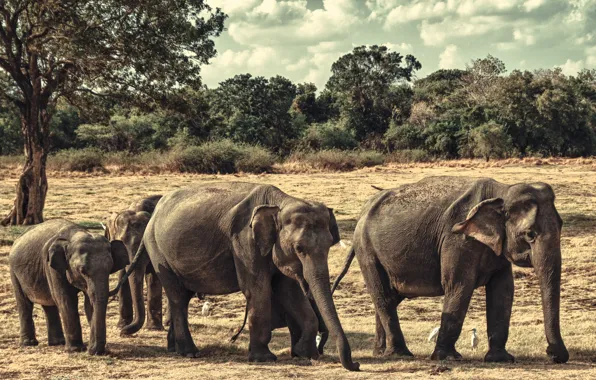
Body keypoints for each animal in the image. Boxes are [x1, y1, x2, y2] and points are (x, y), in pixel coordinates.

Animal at [9, 218, 129, 354]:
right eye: (82, 271)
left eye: (110, 269)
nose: (93, 350)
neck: (76, 234)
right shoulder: (52, 267)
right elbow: (66, 300)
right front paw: (76, 349)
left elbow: (89, 303)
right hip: (14, 272)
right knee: (24, 302)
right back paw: (28, 343)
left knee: (49, 304)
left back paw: (57, 342)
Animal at [103, 194, 162, 334]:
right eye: (120, 242)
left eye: (144, 244)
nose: (122, 333)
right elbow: (123, 276)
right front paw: (121, 326)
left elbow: (153, 278)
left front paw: (153, 328)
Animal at [114, 183, 360, 370]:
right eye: (299, 248)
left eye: (330, 245)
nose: (356, 364)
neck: (279, 203)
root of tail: (155, 212)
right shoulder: (244, 242)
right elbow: (257, 290)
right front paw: (264, 359)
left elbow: (290, 292)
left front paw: (303, 353)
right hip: (158, 250)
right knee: (176, 296)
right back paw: (189, 353)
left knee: (182, 297)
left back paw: (175, 348)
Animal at [332, 177, 572, 364]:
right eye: (530, 234)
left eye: (561, 225)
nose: (552, 354)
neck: (502, 191)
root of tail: (363, 211)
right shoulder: (457, 239)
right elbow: (459, 285)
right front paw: (447, 358)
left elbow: (503, 290)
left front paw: (501, 359)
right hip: (367, 250)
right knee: (383, 295)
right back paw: (400, 354)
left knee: (388, 298)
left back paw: (381, 353)